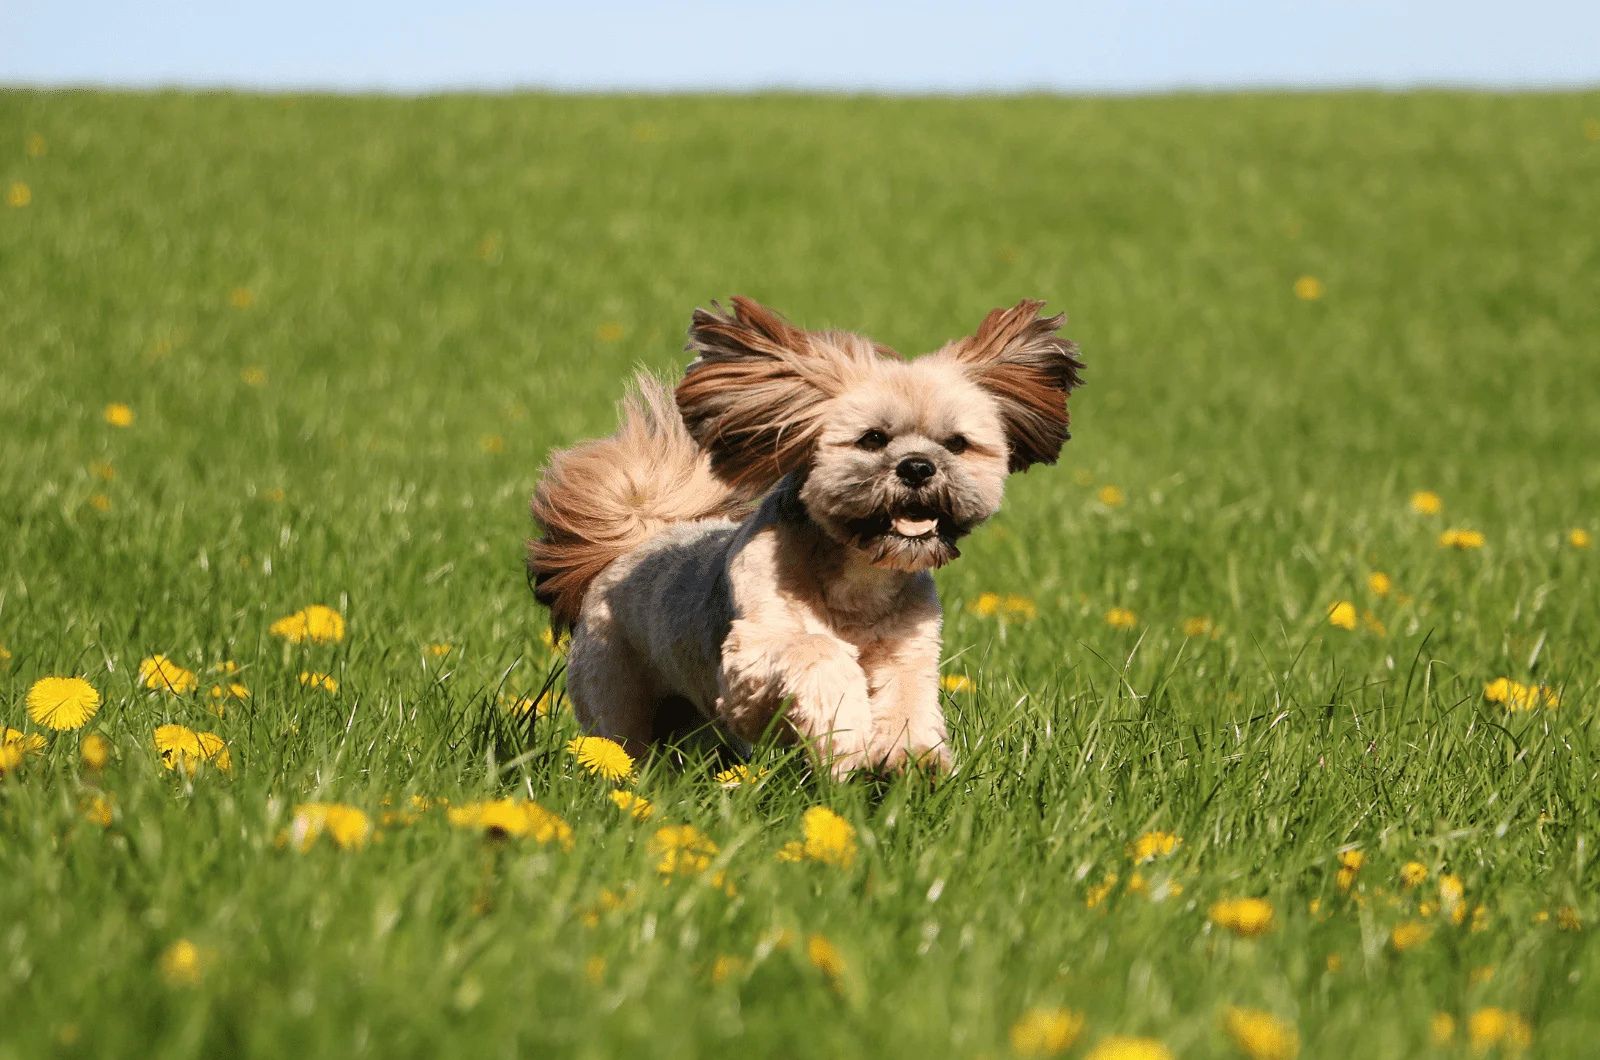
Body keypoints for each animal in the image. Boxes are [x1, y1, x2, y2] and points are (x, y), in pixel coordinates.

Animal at [531, 299, 1081, 781]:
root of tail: (636, 543)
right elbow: (817, 653)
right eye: (872, 439)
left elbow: (909, 698)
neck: (857, 583)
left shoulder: (910, 650)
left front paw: (910, 756)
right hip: (620, 702)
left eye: (957, 444)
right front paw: (847, 736)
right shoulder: (748, 665)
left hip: (698, 730)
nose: (918, 466)